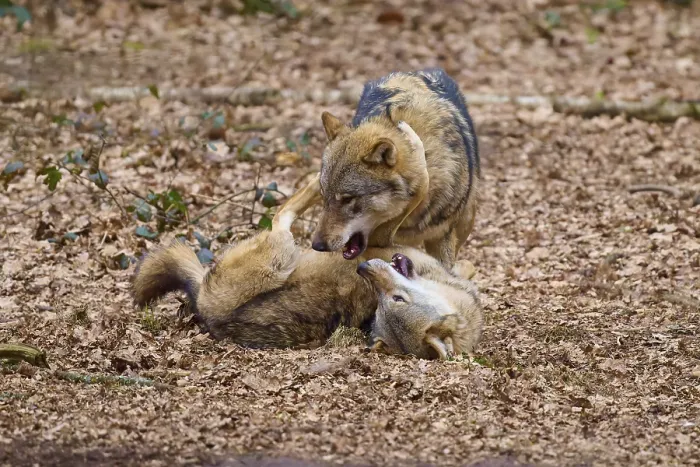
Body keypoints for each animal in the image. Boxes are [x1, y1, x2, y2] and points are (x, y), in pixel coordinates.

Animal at [132, 122, 482, 360]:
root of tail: (206, 308)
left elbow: (419, 186)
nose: (365, 268)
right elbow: (418, 185)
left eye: (395, 301)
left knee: (282, 215)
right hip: (284, 250)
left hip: (281, 251)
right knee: (283, 214)